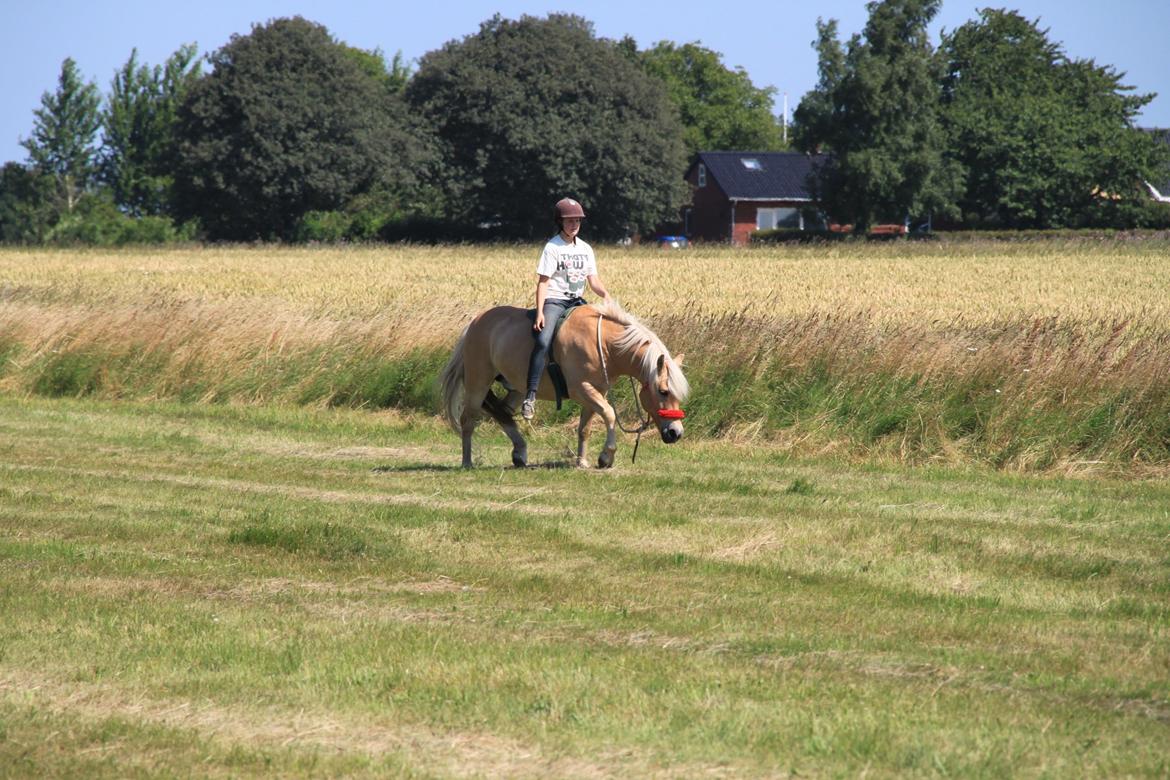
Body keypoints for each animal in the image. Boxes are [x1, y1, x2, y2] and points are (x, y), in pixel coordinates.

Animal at [439, 301, 683, 470]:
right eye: (663, 391)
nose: (676, 433)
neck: (605, 345)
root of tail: (475, 323)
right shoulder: (582, 389)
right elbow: (609, 414)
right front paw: (607, 456)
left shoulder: (596, 392)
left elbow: (585, 428)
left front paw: (582, 461)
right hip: (478, 383)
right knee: (468, 420)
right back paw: (467, 462)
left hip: (516, 389)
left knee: (502, 412)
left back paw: (520, 453)